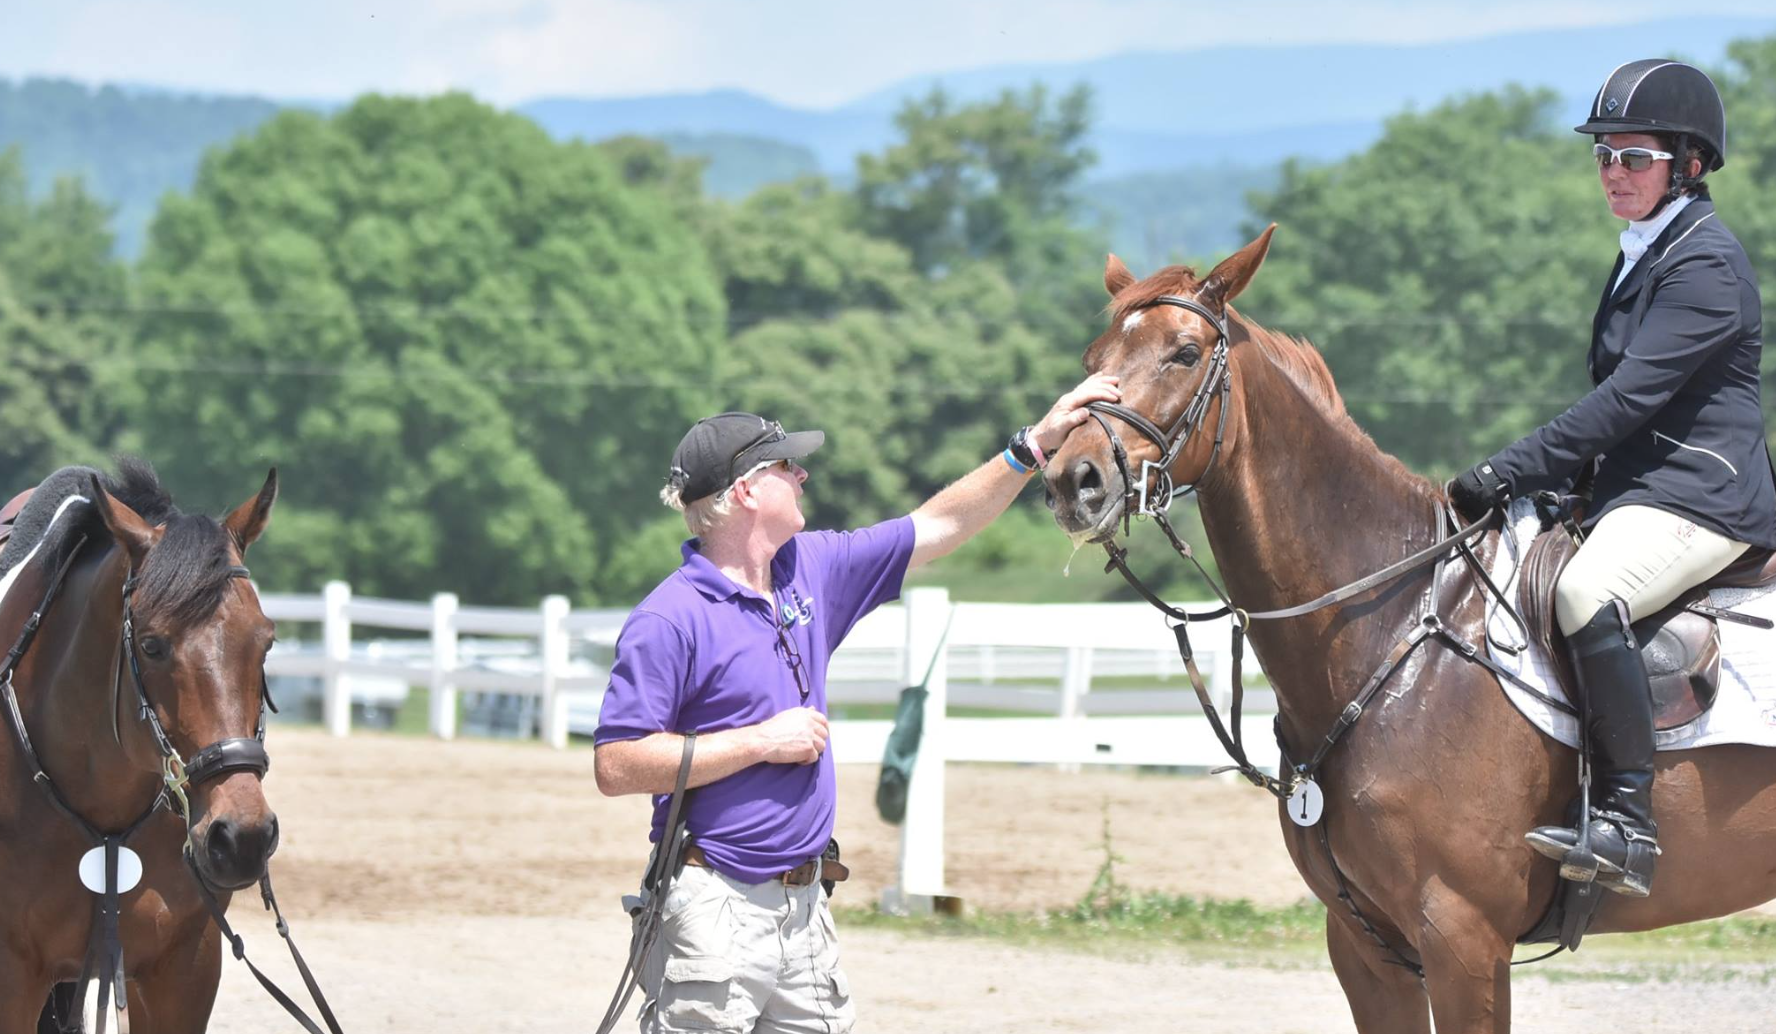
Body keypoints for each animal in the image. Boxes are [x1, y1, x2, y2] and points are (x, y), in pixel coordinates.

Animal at [1042, 226, 1776, 1033]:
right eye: (1093, 360)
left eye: (1184, 352)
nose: (1072, 480)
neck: (1393, 625)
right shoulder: (1366, 946)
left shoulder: (1462, 937)